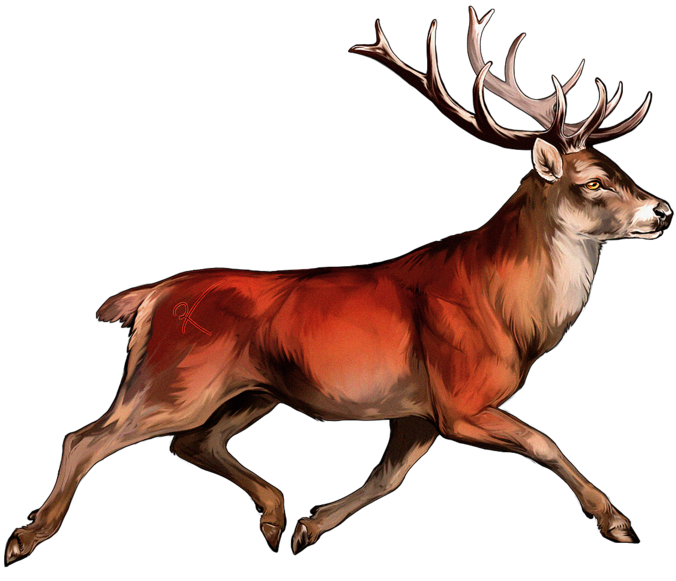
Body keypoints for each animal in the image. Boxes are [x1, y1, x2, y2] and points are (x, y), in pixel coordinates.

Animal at [7, 7, 670, 562]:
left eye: (624, 172)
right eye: (592, 182)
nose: (662, 210)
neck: (510, 311)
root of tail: (149, 296)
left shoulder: (420, 411)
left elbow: (388, 476)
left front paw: (310, 524)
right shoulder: (460, 397)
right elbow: (544, 442)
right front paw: (616, 520)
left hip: (255, 390)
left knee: (191, 445)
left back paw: (273, 516)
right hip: (173, 378)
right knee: (87, 436)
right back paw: (27, 535)